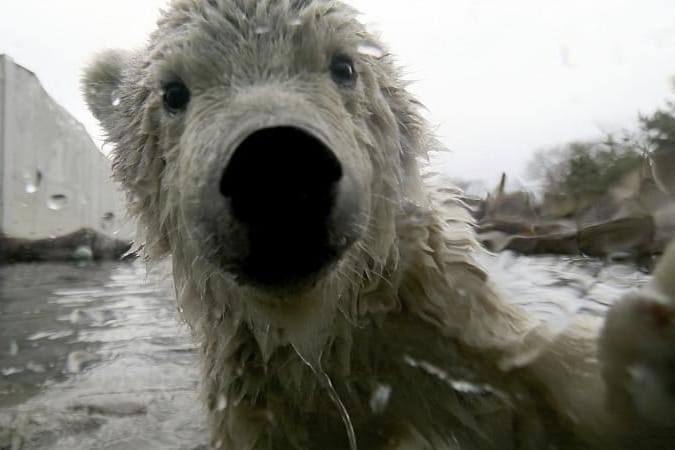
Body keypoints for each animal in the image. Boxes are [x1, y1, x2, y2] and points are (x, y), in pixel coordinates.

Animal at [84, 1, 675, 448]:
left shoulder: (438, 331)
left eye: (344, 66)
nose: (276, 168)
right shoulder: (258, 397)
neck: (320, 334)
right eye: (173, 92)